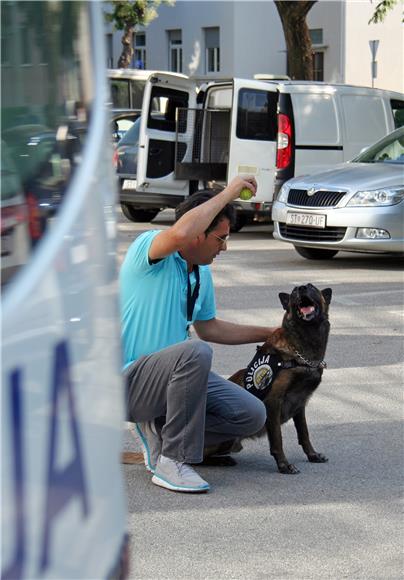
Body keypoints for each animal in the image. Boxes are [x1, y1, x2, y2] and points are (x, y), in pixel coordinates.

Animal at [221, 284, 332, 474]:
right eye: (294, 291)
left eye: (311, 287)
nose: (301, 288)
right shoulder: (273, 402)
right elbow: (277, 439)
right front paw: (284, 465)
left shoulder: (300, 403)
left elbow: (304, 433)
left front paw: (312, 455)